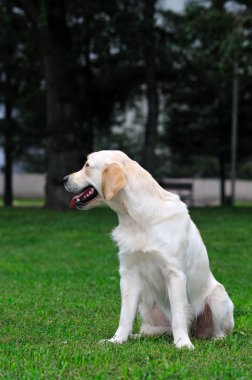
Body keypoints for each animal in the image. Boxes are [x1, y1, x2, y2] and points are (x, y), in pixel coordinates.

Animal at [63, 150, 234, 348]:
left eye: (87, 166)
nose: (64, 179)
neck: (137, 218)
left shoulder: (175, 274)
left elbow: (179, 315)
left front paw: (183, 343)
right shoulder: (129, 273)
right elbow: (125, 316)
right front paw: (117, 340)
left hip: (218, 297)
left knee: (217, 330)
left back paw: (215, 338)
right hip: (147, 305)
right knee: (153, 331)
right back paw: (137, 336)